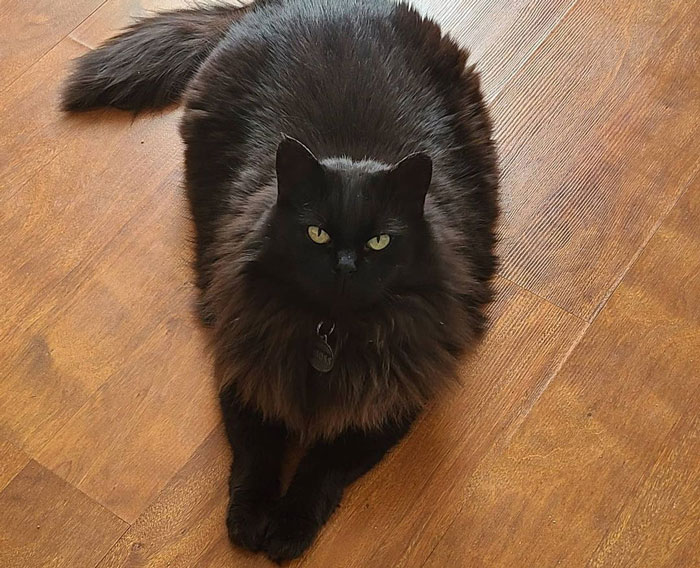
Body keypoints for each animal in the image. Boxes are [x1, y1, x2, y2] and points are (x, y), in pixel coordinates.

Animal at [60, 0, 498, 560]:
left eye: (380, 241)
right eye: (317, 233)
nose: (346, 266)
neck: (329, 334)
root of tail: (275, 6)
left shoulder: (390, 400)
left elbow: (321, 468)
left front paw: (289, 528)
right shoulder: (247, 368)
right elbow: (256, 455)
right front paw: (249, 520)